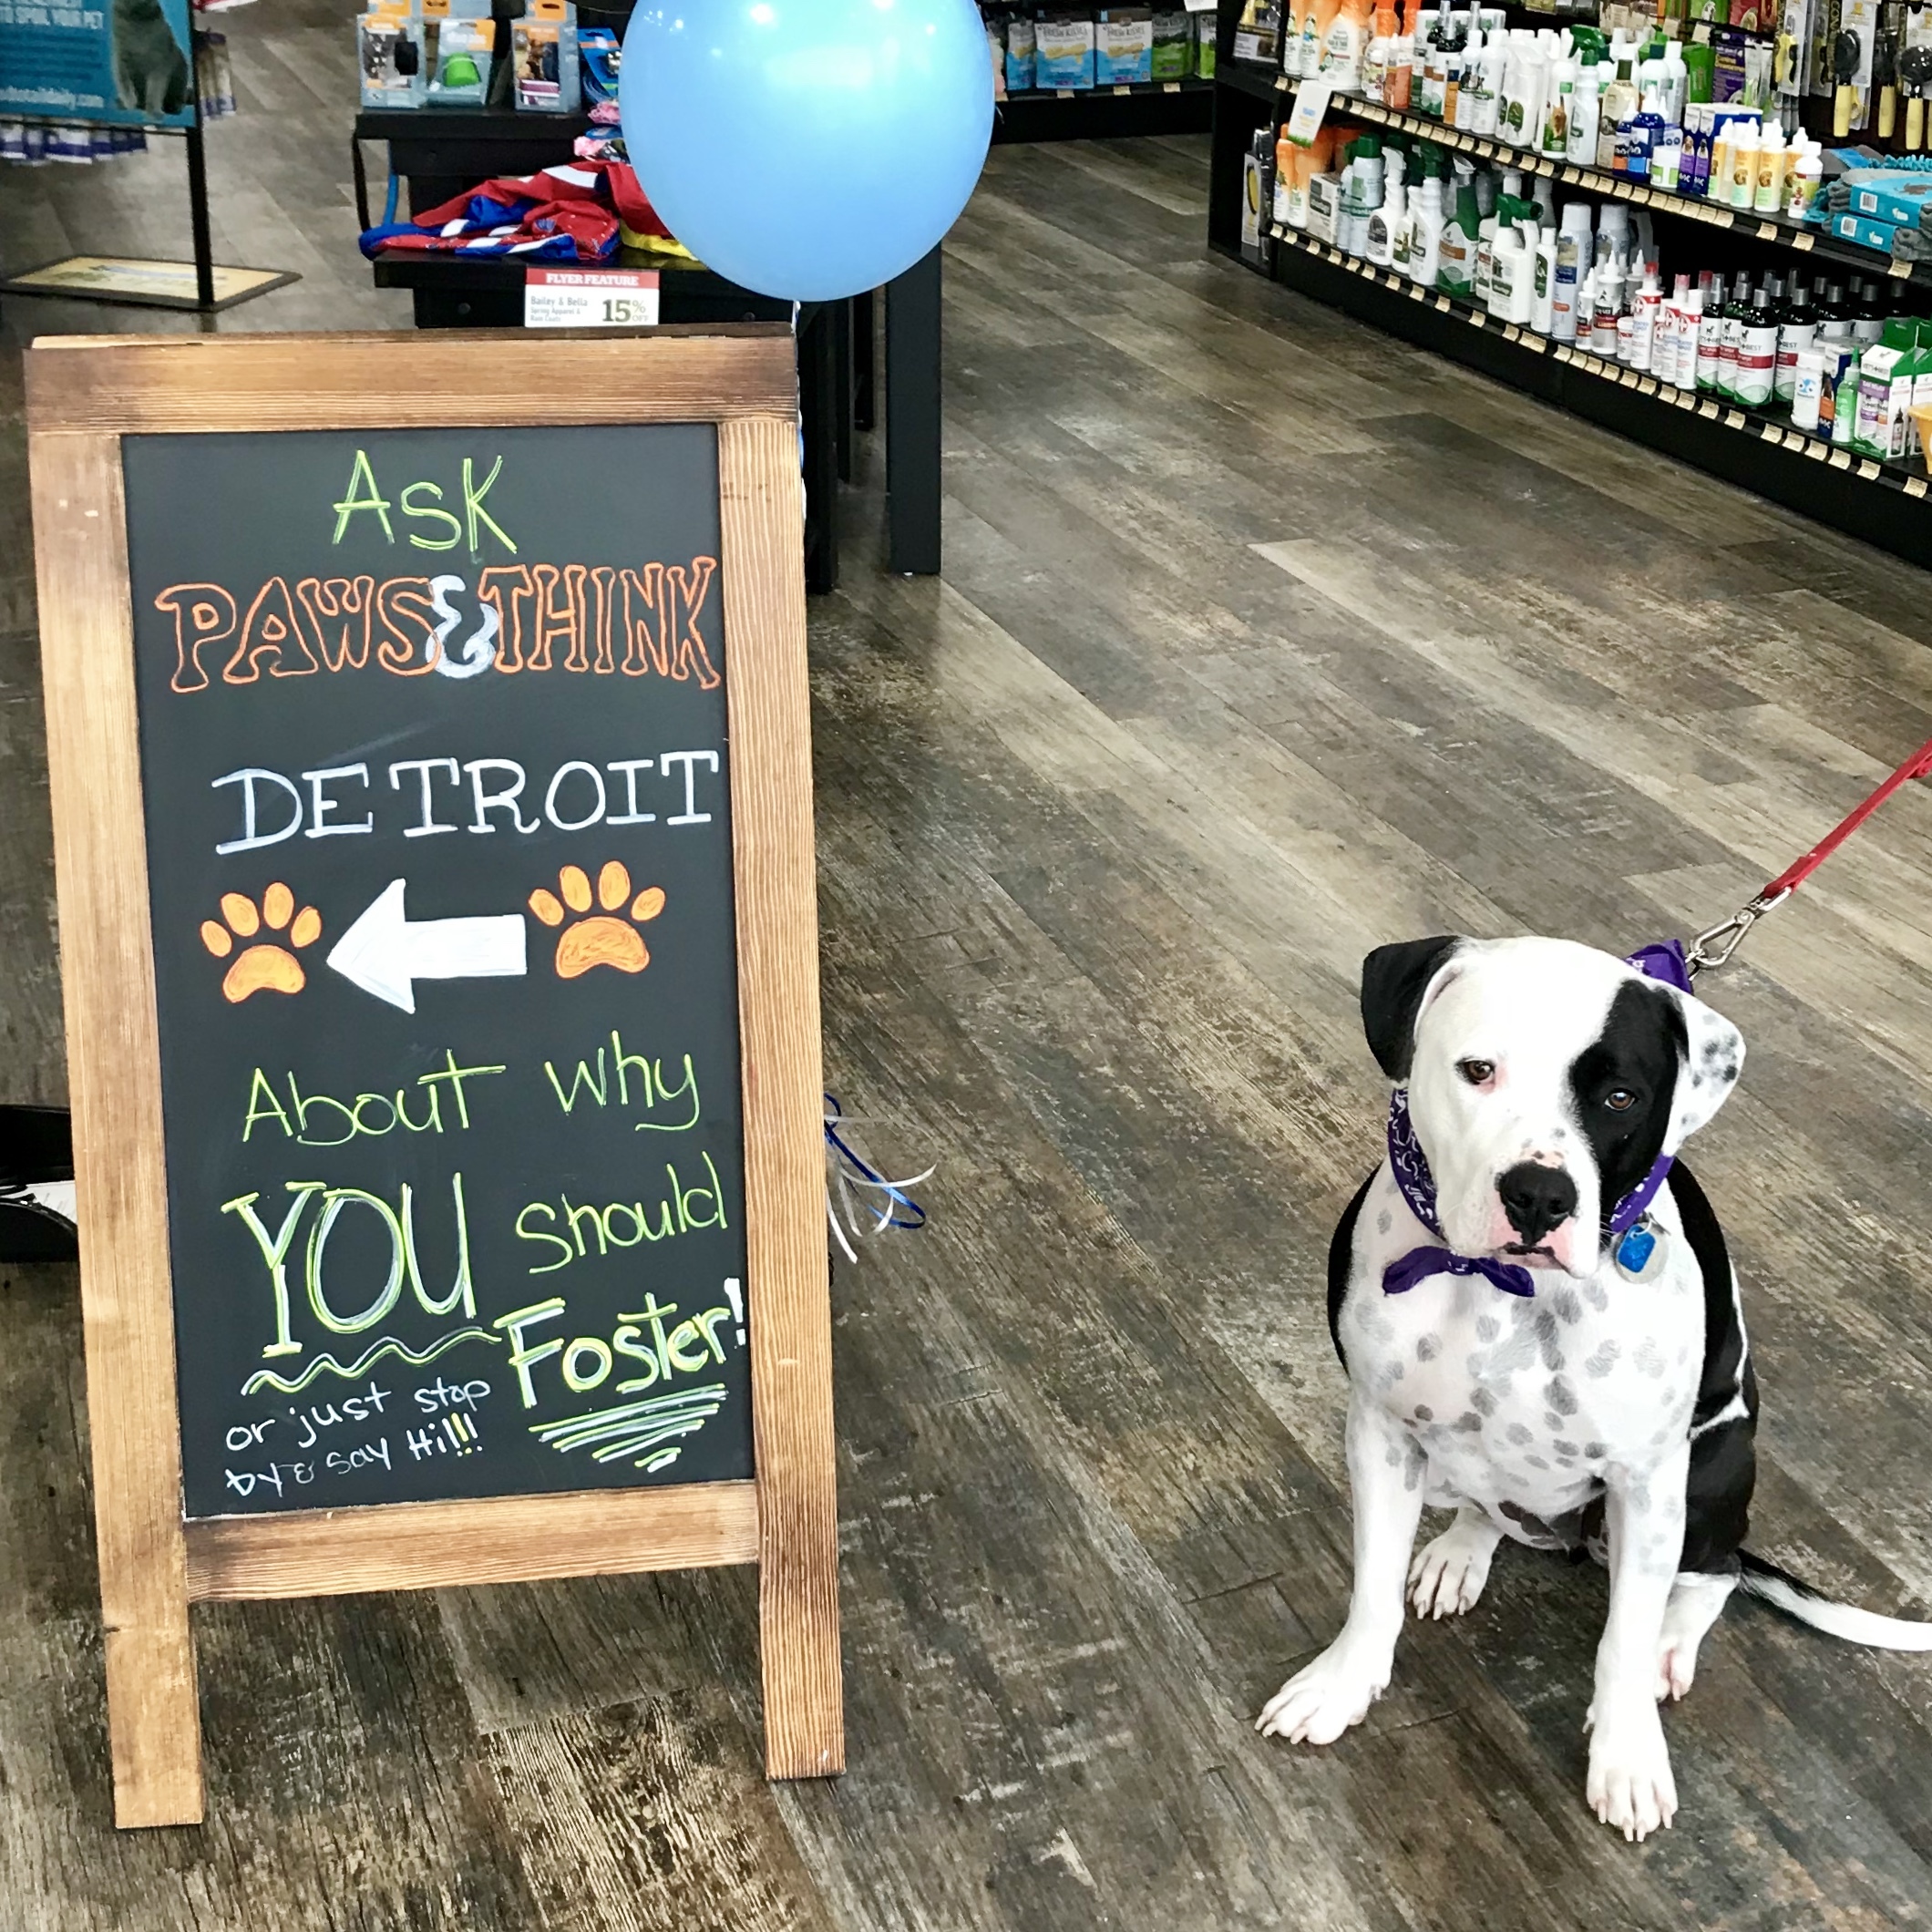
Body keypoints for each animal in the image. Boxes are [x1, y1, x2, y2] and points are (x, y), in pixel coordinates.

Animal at [1259, 935, 1924, 1839]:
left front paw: (1628, 1755)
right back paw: (1461, 1551)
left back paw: (1671, 1644)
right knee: (1488, 1507)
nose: (1540, 1195)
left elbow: (1623, 1638)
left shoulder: (1648, 1483)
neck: (1507, 1291)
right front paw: (1341, 1683)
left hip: (1711, 1471)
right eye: (1478, 1070)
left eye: (1619, 1097)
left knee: (1713, 1573)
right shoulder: (1381, 1433)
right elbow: (1372, 1585)